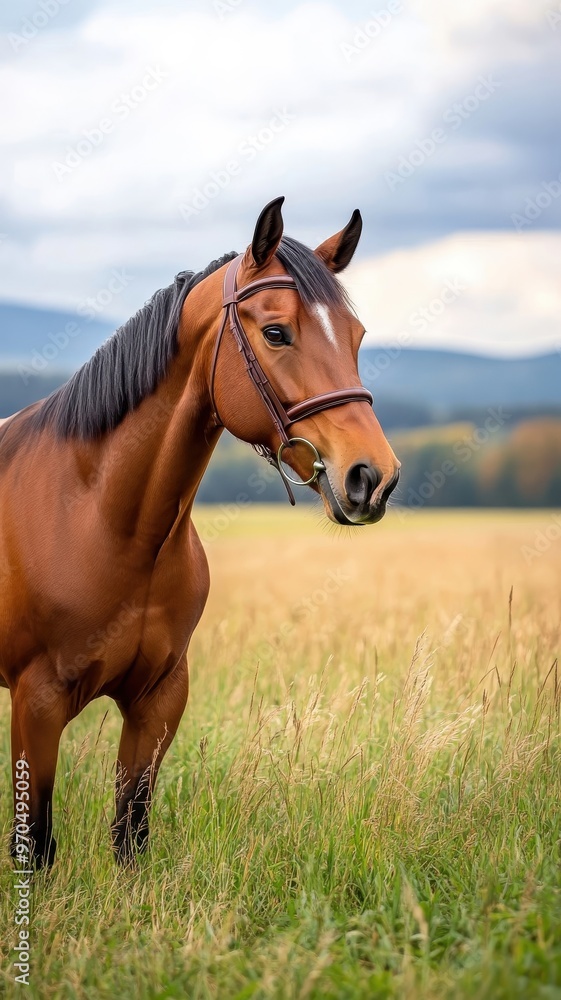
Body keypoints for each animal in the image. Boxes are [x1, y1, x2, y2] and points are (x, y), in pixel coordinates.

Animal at [0, 197, 400, 868]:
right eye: (275, 332)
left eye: (357, 336)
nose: (374, 477)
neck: (104, 519)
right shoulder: (37, 703)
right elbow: (37, 846)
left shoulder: (160, 698)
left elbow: (130, 832)